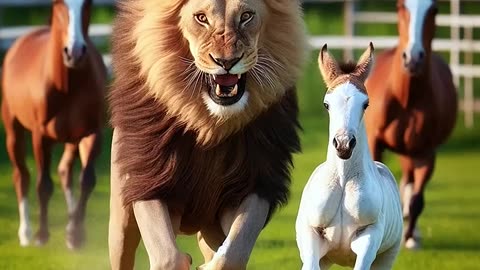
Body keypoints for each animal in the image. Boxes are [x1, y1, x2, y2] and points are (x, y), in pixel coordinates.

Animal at [0, 0, 105, 249]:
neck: (67, 84)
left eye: (88, 4)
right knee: (21, 175)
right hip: (13, 131)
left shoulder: (92, 133)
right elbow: (44, 185)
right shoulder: (41, 137)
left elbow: (87, 180)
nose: (74, 52)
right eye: (59, 4)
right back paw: (26, 233)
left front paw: (76, 235)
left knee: (65, 170)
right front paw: (42, 235)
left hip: (73, 139)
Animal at [109, 0, 308, 268]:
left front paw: (210, 265)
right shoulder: (150, 178)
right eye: (201, 18)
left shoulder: (253, 183)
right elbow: (168, 256)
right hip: (120, 225)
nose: (226, 62)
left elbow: (233, 252)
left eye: (246, 16)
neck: (209, 124)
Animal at [294, 43, 404, 268]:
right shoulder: (310, 234)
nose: (344, 145)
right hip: (326, 258)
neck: (343, 182)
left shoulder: (369, 235)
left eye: (366, 104)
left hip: (388, 255)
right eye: (326, 104)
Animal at [368, 0, 458, 249]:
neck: (407, 97)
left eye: (434, 10)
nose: (413, 58)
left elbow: (417, 199)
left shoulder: (425, 152)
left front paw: (410, 239)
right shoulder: (374, 142)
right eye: (400, 7)